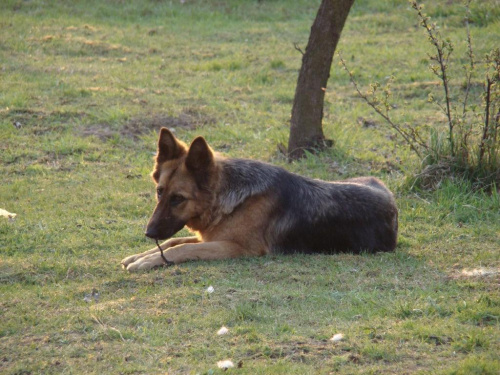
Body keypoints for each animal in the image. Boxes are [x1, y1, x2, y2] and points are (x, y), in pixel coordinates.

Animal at [121, 128, 398, 272]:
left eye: (178, 198)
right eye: (159, 192)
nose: (148, 233)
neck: (230, 198)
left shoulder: (238, 247)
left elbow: (184, 247)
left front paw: (148, 260)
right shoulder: (214, 236)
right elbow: (175, 242)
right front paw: (140, 256)